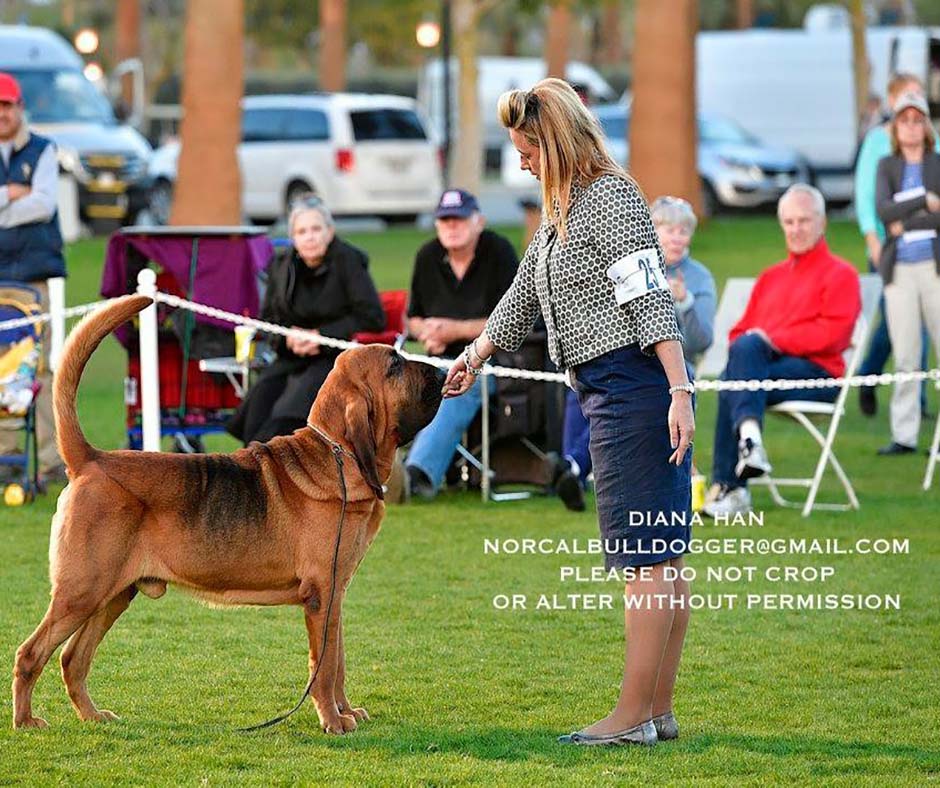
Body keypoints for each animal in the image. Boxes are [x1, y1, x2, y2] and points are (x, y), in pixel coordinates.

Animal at [11, 294, 444, 732]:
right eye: (394, 365)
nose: (443, 371)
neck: (338, 454)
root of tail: (91, 460)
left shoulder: (337, 595)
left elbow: (336, 662)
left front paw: (346, 711)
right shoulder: (322, 595)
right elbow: (323, 669)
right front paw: (332, 720)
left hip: (114, 594)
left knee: (72, 659)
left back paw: (93, 715)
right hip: (81, 593)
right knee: (31, 653)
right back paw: (26, 720)